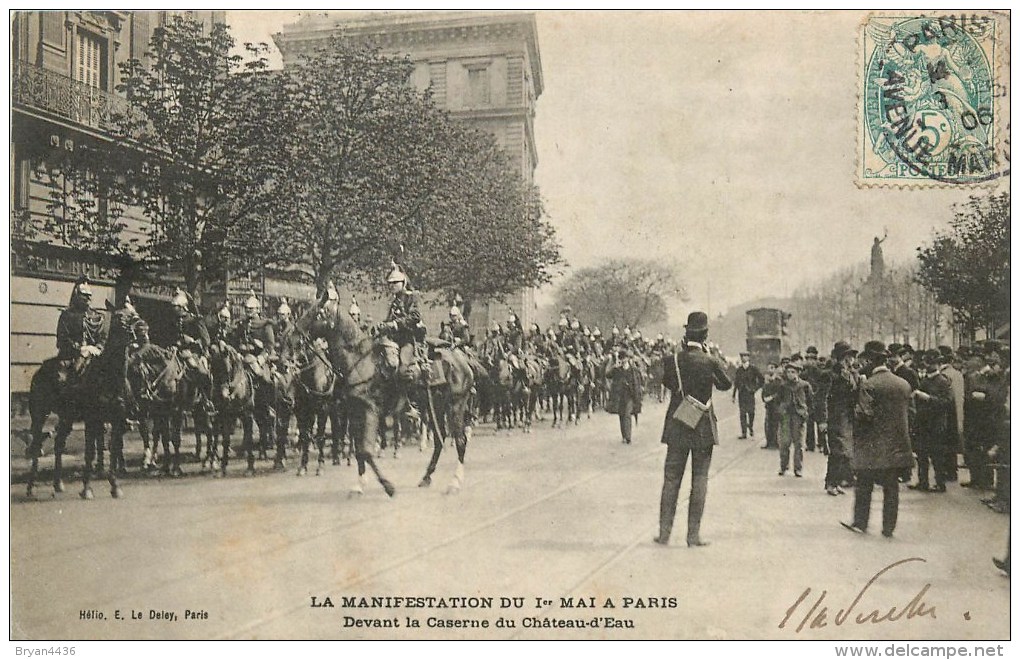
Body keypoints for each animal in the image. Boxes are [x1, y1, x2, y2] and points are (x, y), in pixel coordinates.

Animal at [25, 301, 139, 497]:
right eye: (118, 316)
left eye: (133, 315)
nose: (132, 334)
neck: (109, 376)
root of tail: (40, 370)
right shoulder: (92, 420)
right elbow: (90, 452)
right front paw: (86, 488)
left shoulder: (117, 420)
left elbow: (114, 450)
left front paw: (115, 486)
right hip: (40, 414)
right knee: (36, 445)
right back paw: (31, 486)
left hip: (67, 417)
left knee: (59, 444)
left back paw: (58, 483)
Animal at [295, 299, 393, 495]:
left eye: (316, 313)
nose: (293, 336)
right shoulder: (304, 410)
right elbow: (306, 435)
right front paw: (302, 466)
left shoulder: (324, 409)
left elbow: (321, 436)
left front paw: (320, 466)